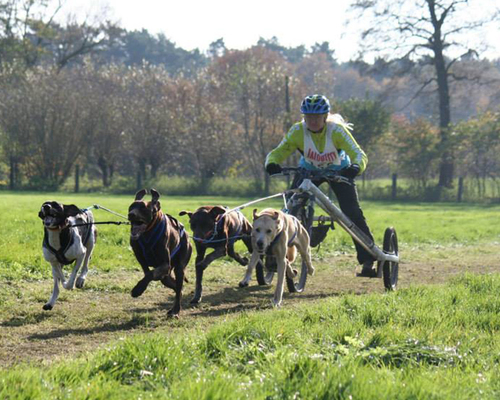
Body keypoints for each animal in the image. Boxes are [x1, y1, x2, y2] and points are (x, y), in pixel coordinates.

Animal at [128, 189, 192, 318]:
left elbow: (150, 274)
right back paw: (173, 309)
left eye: (143, 208)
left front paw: (138, 289)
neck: (147, 233)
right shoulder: (140, 257)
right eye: (131, 207)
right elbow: (147, 272)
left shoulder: (165, 265)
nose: (131, 214)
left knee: (178, 287)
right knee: (177, 288)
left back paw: (176, 310)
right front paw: (141, 287)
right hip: (167, 277)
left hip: (179, 267)